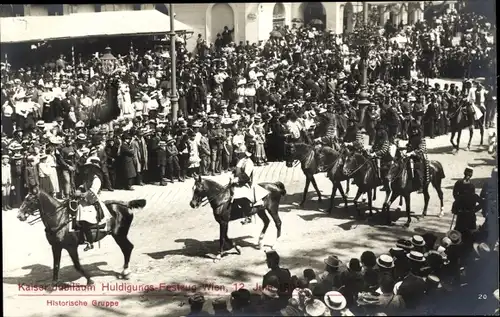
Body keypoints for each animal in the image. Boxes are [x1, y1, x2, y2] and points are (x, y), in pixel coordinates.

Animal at [17, 186, 146, 286]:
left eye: (29, 199)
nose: (19, 215)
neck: (59, 218)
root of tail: (126, 204)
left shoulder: (71, 247)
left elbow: (77, 265)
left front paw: (90, 280)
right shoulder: (56, 246)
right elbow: (56, 265)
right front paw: (54, 284)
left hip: (120, 235)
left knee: (127, 248)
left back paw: (125, 272)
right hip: (119, 235)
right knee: (127, 248)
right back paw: (125, 272)